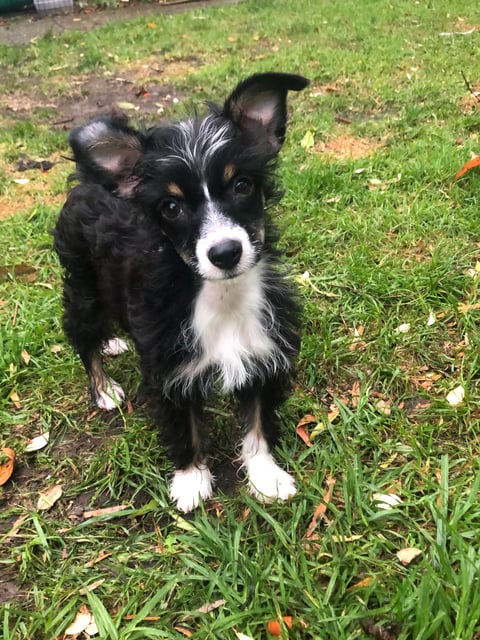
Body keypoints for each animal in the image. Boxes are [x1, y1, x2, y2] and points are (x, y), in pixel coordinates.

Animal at [54, 72, 310, 512]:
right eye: (171, 207)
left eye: (242, 185)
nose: (225, 252)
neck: (220, 296)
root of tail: (92, 182)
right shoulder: (168, 369)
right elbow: (183, 427)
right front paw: (191, 481)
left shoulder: (263, 353)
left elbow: (258, 424)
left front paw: (266, 476)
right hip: (84, 287)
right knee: (83, 336)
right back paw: (102, 387)